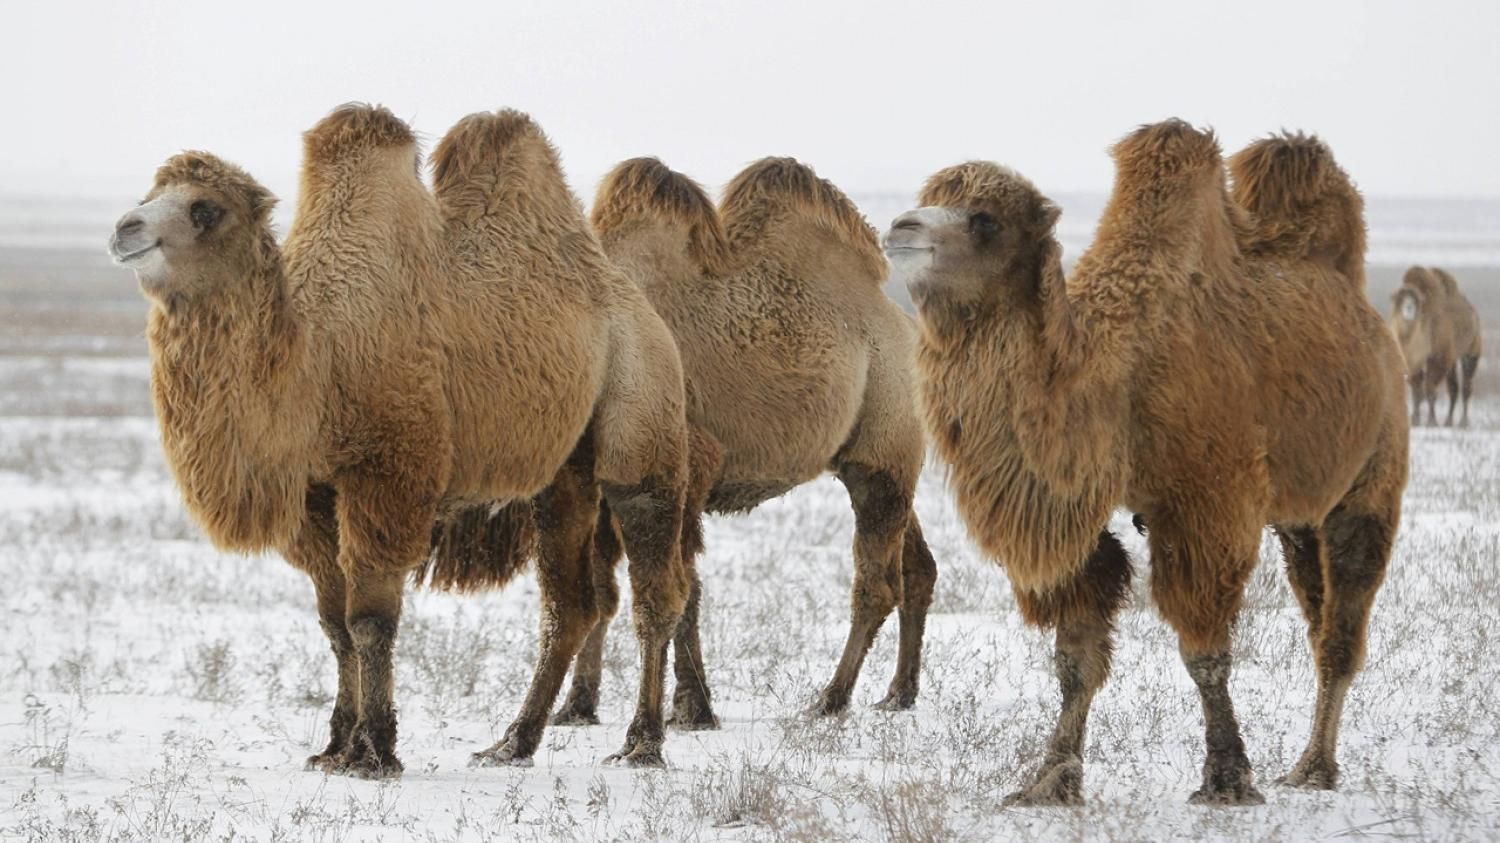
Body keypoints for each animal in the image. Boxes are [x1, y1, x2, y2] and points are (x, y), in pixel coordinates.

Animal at [543, 159, 936, 729]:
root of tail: (904, 323)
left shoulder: (688, 463)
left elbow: (683, 587)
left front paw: (691, 708)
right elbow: (606, 589)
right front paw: (578, 706)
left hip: (884, 448)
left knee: (876, 582)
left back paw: (829, 700)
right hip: (874, 460)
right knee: (917, 567)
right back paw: (898, 693)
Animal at [876, 121, 1404, 804]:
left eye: (985, 220)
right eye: (930, 200)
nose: (902, 227)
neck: (1114, 380)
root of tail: (1366, 311)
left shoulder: (1207, 503)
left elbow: (1203, 652)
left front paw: (1227, 778)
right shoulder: (1074, 516)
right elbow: (1076, 656)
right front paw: (1051, 779)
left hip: (1370, 478)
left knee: (1343, 622)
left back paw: (1314, 768)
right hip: (1298, 518)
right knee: (1318, 614)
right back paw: (1308, 762)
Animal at [1386, 265, 1482, 426]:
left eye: (1415, 299)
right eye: (1401, 298)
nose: (1409, 308)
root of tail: (1474, 312)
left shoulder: (1438, 357)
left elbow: (1430, 389)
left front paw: (1432, 422)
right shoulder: (1412, 359)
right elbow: (1416, 391)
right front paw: (1415, 420)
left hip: (1472, 351)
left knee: (1466, 387)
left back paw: (1463, 422)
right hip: (1453, 359)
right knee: (1453, 388)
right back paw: (1448, 421)